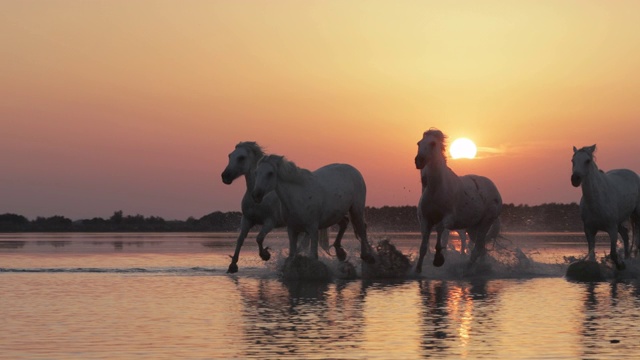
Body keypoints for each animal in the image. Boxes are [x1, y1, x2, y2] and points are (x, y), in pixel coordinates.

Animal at [412, 129, 502, 272]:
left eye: (433, 143)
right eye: (419, 143)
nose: (418, 161)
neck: (436, 189)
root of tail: (495, 189)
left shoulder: (449, 219)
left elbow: (441, 231)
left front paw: (439, 259)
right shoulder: (425, 220)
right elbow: (423, 247)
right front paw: (417, 271)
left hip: (485, 223)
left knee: (477, 249)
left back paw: (466, 271)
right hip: (473, 227)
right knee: (481, 248)